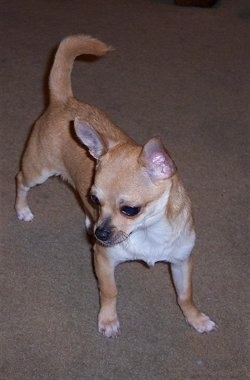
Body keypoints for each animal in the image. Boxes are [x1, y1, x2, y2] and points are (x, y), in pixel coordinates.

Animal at [15, 35, 217, 338]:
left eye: (130, 210)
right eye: (95, 199)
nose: (100, 234)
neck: (149, 233)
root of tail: (65, 100)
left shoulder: (181, 263)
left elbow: (185, 296)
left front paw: (196, 318)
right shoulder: (103, 259)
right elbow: (110, 292)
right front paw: (108, 320)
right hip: (38, 171)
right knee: (20, 180)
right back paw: (22, 209)